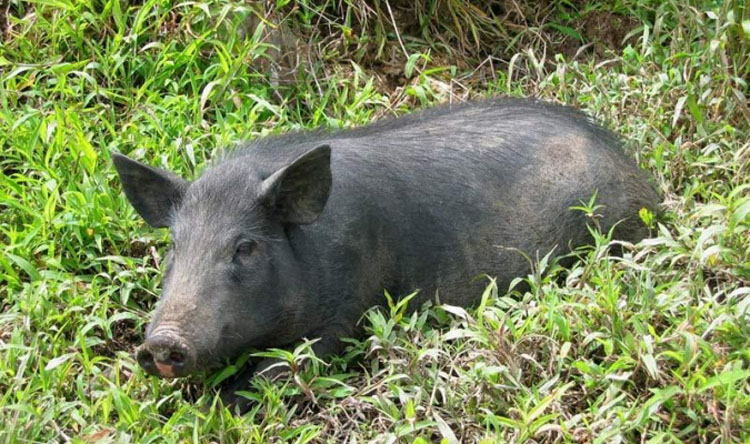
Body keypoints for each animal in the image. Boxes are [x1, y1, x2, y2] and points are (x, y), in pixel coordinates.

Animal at [112, 98, 658, 403]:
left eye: (244, 247)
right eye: (175, 245)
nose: (160, 342)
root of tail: (638, 172)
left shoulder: (346, 308)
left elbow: (271, 376)